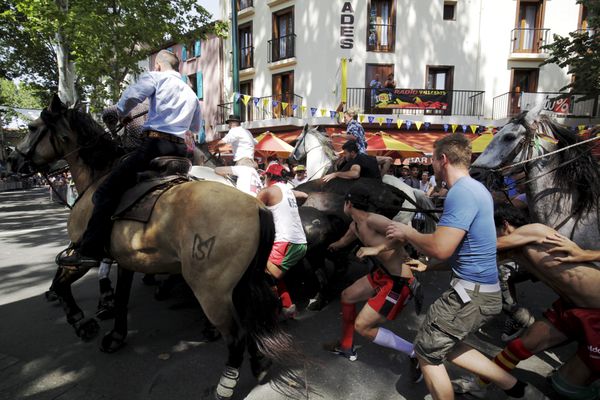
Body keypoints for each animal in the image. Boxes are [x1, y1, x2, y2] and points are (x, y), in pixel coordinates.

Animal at [8, 95, 298, 398]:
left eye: (32, 127)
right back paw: (259, 363)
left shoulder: (81, 251)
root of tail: (256, 205)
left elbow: (64, 282)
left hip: (212, 292)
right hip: (240, 284)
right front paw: (116, 335)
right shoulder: (126, 259)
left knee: (236, 335)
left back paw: (224, 386)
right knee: (250, 320)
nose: (12, 159)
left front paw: (80, 320)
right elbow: (121, 298)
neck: (98, 177)